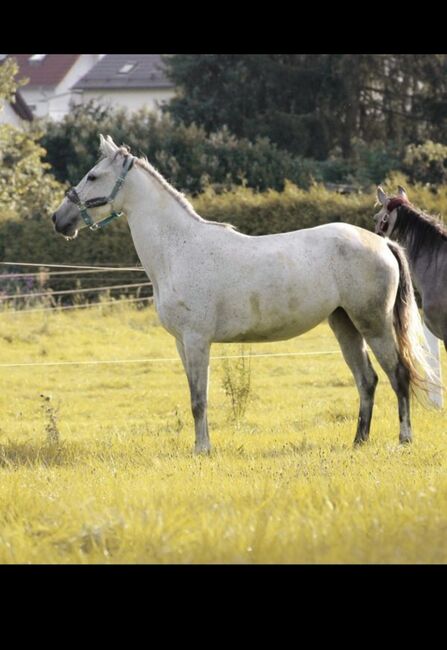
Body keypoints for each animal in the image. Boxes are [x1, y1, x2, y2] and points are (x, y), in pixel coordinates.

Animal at [51, 135, 434, 454]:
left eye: (93, 176)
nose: (59, 219)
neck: (178, 248)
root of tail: (383, 243)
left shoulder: (197, 340)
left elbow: (199, 399)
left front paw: (202, 450)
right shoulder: (181, 342)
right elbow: (194, 395)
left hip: (373, 324)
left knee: (398, 375)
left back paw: (404, 439)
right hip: (344, 324)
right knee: (367, 380)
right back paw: (358, 441)